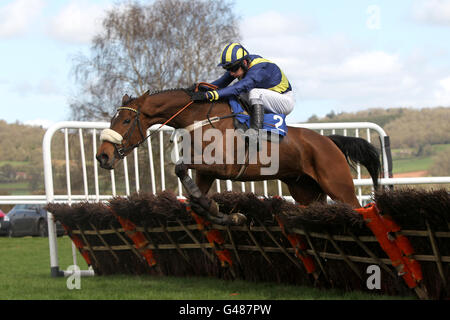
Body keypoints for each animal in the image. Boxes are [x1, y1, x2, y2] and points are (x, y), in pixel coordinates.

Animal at [96, 85, 382, 215]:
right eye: (112, 119)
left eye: (125, 121)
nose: (102, 156)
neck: (200, 118)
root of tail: (329, 142)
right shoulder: (205, 173)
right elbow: (191, 184)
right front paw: (209, 207)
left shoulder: (223, 166)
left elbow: (180, 165)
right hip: (306, 191)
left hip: (338, 185)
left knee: (357, 207)